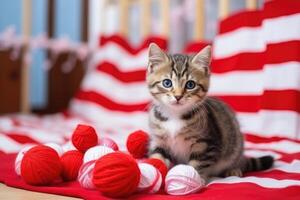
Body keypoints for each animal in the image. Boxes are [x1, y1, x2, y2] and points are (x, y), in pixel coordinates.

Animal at [146, 43, 274, 183]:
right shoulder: (159, 141)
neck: (175, 115)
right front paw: (155, 173)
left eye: (190, 85)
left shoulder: (206, 144)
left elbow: (198, 163)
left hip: (236, 145)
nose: (178, 96)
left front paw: (196, 180)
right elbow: (158, 156)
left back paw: (233, 169)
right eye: (167, 83)